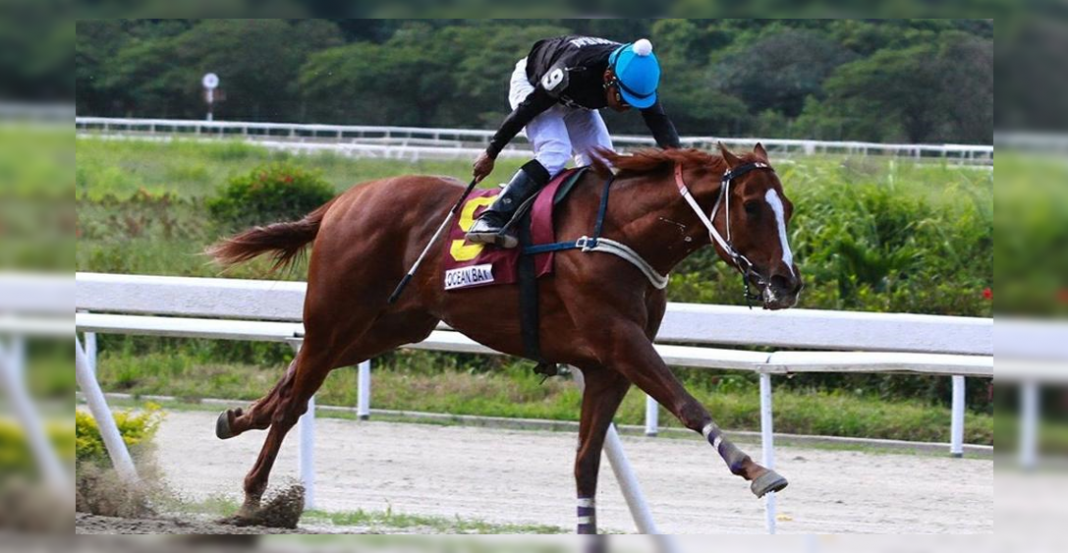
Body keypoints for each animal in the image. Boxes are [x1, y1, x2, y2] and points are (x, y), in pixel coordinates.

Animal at [207, 143, 803, 534]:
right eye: (752, 206)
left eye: (789, 207)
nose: (786, 282)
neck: (619, 234)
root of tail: (342, 201)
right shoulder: (621, 341)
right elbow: (686, 402)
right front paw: (756, 471)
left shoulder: (606, 367)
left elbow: (586, 463)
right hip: (337, 314)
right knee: (296, 397)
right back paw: (253, 498)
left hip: (391, 324)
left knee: (295, 383)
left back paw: (238, 418)